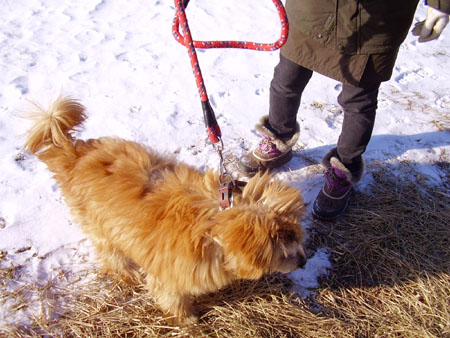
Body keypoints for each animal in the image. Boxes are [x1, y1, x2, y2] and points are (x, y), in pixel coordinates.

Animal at [23, 96, 306, 324]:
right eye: (282, 246)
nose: (304, 260)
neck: (213, 223)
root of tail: (74, 153)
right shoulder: (169, 275)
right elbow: (172, 298)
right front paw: (187, 321)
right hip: (99, 225)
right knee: (110, 254)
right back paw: (127, 272)